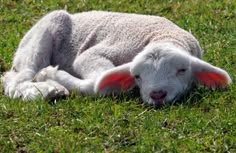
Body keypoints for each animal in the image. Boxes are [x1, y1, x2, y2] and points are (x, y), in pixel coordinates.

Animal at [0, 10, 231, 104]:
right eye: (137, 76)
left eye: (182, 70)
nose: (157, 94)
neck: (163, 36)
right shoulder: (98, 52)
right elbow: (98, 84)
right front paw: (51, 75)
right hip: (44, 32)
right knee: (15, 81)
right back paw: (45, 90)